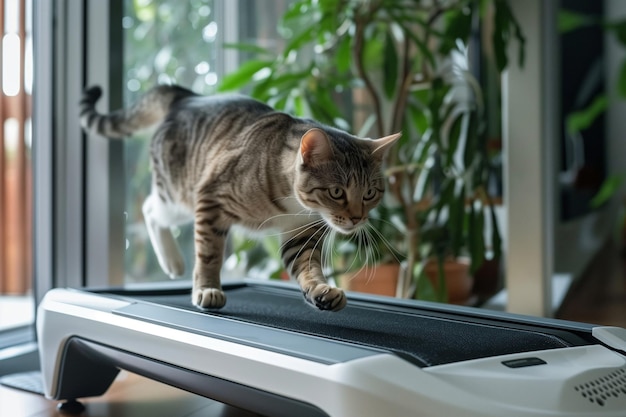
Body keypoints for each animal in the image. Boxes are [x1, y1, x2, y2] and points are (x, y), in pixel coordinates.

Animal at [79, 84, 400, 310]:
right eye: (336, 192)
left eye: (370, 193)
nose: (357, 219)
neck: (293, 203)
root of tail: (186, 96)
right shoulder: (211, 197)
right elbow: (209, 254)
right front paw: (207, 288)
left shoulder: (302, 232)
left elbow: (308, 266)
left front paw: (321, 289)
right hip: (178, 194)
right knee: (150, 208)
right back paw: (173, 261)